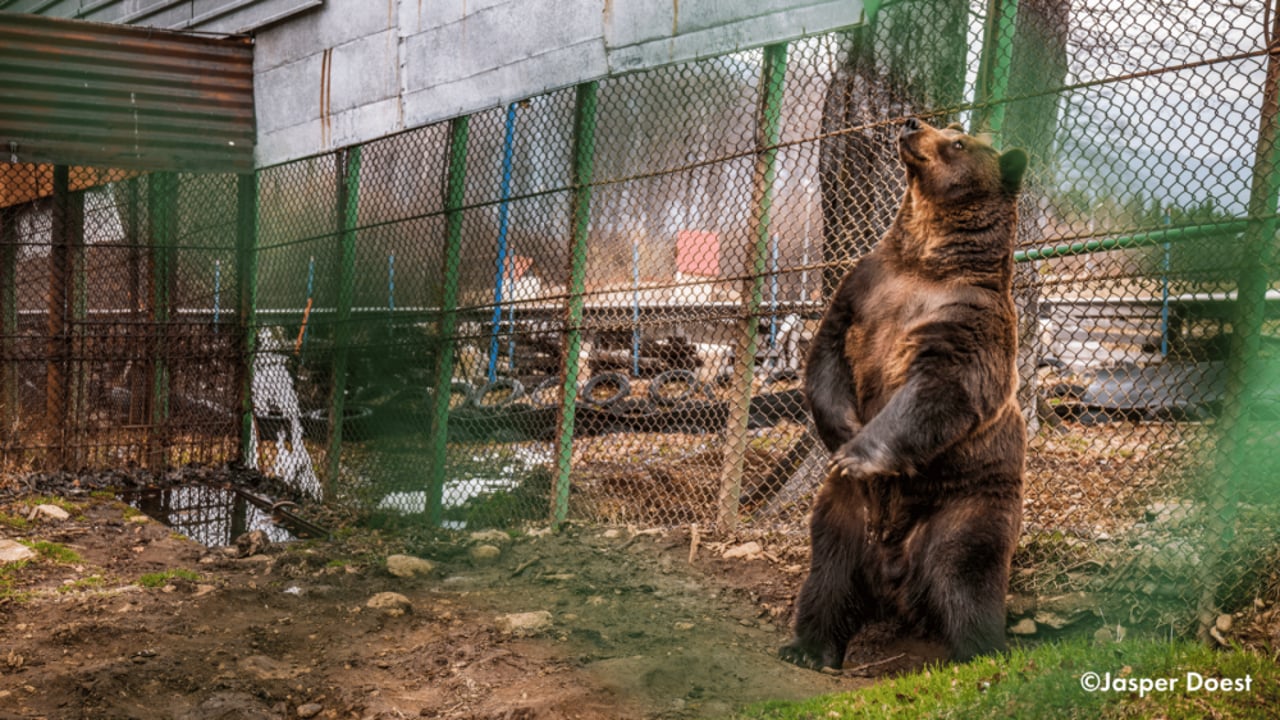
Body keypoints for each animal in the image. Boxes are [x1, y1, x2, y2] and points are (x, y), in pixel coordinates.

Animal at [778, 116, 1029, 666]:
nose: (912, 123)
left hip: (966, 502)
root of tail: (892, 571)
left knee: (966, 574)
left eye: (958, 141)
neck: (925, 262)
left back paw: (980, 648)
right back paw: (808, 646)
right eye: (951, 125)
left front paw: (857, 453)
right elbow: (827, 351)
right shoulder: (864, 286)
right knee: (828, 575)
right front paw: (844, 429)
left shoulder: (969, 316)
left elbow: (942, 386)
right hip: (844, 516)